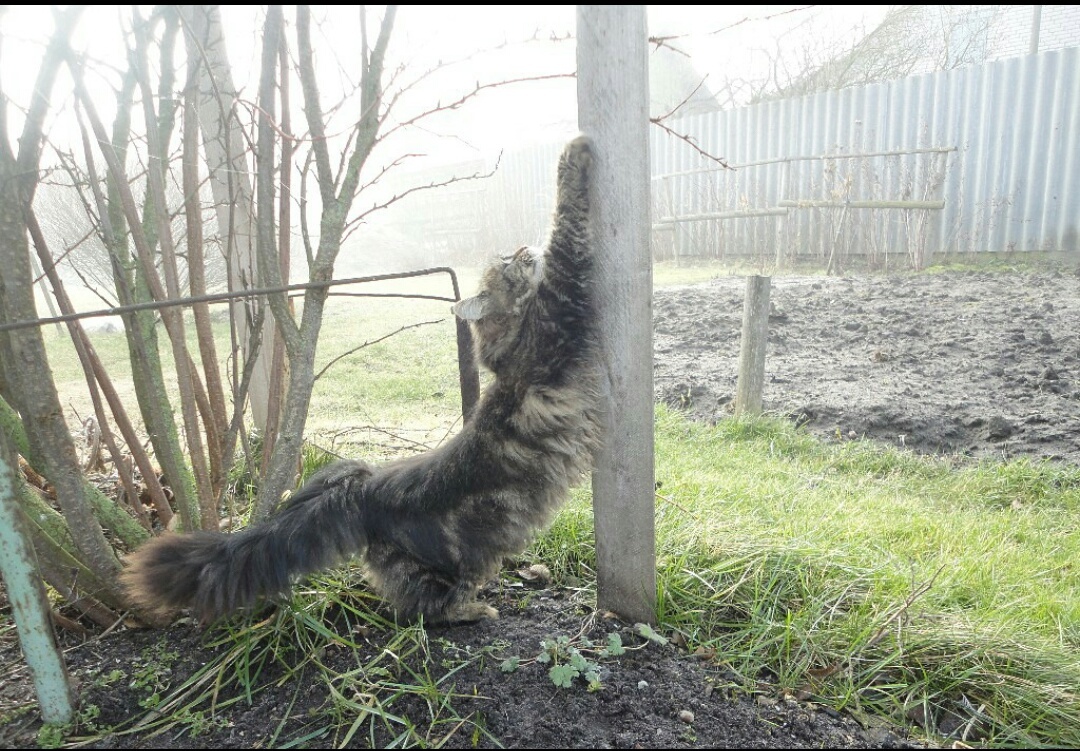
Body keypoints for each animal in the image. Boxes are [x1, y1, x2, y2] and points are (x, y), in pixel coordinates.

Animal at [122, 135, 602, 624]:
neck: (510, 346)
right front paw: (574, 153)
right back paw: (474, 611)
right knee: (423, 609)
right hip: (446, 567)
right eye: (508, 262)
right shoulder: (561, 305)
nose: (522, 247)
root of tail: (364, 487)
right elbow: (567, 226)